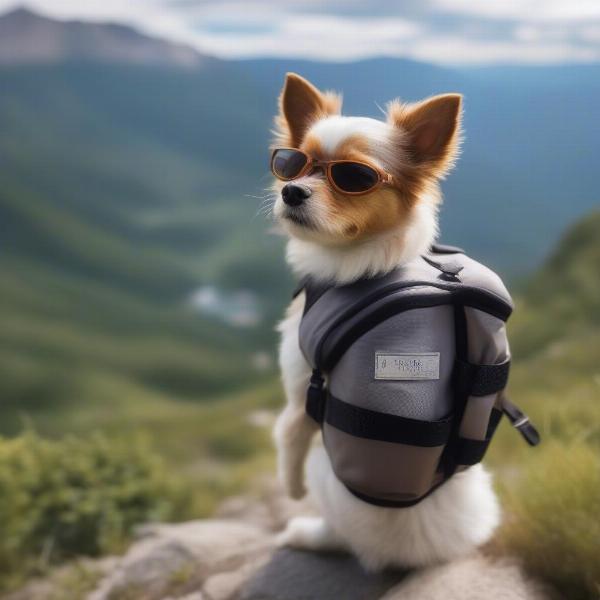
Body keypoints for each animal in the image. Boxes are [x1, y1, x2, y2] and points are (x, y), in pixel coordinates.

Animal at [270, 72, 500, 568]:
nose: (290, 190)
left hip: (325, 470)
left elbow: (288, 438)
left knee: (335, 533)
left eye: (353, 177)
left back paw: (302, 532)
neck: (368, 260)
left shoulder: (299, 388)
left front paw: (289, 492)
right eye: (292, 164)